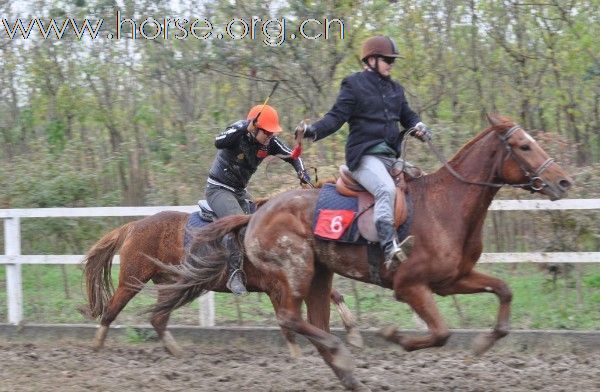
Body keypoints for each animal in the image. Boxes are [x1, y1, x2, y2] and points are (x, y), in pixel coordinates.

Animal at [79, 211, 360, 358]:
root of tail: (133, 225)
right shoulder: (276, 288)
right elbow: (288, 323)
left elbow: (333, 296)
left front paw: (353, 333)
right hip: (132, 282)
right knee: (111, 310)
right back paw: (96, 344)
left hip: (172, 284)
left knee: (157, 318)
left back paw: (175, 349)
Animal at [152, 115, 576, 390]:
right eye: (523, 145)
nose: (563, 181)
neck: (446, 205)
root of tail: (255, 213)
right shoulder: (410, 286)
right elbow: (440, 333)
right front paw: (394, 335)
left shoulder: (452, 280)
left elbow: (504, 292)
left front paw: (480, 347)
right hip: (297, 270)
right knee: (291, 319)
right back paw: (342, 351)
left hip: (320, 275)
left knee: (314, 325)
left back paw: (348, 371)